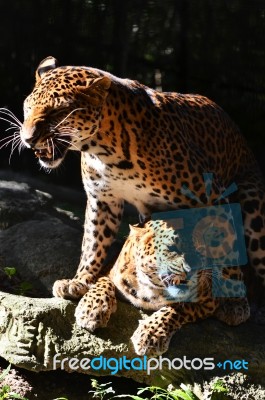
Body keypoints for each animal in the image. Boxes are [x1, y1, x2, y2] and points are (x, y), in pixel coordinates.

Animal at [18, 55, 264, 354]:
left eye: (57, 112)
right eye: (28, 107)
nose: (27, 138)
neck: (103, 149)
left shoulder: (213, 197)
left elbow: (228, 248)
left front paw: (232, 301)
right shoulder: (102, 199)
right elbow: (93, 243)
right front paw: (80, 281)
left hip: (253, 209)